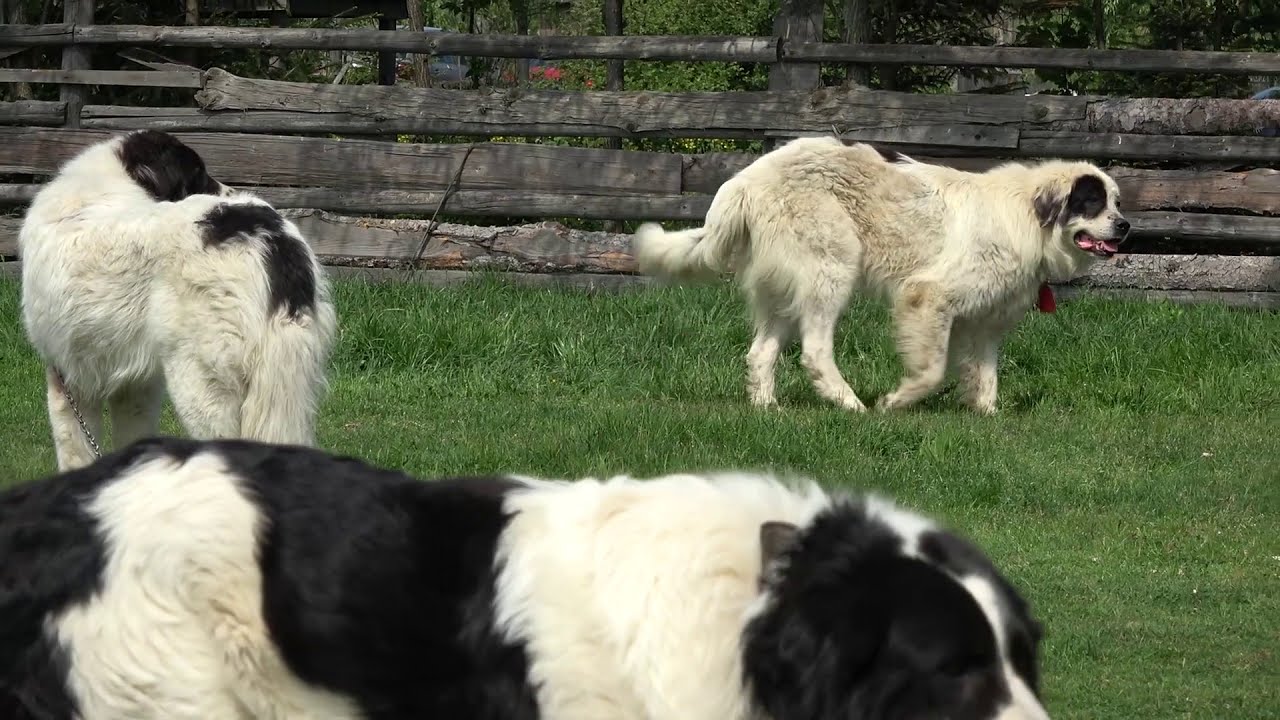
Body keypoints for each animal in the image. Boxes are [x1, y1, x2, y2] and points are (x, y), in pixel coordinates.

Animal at [17, 129, 337, 468]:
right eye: (198, 174)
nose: (231, 190)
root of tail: (271, 240)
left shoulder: (69, 377)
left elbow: (74, 452)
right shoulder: (134, 387)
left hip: (198, 382)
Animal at [632, 136, 1131, 412]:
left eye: (1117, 202)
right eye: (1091, 202)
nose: (1126, 227)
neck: (1028, 216)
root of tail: (744, 179)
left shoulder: (986, 322)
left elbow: (986, 374)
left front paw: (987, 417)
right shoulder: (928, 296)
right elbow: (932, 371)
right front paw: (895, 402)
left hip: (786, 289)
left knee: (760, 353)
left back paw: (767, 408)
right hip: (831, 269)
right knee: (814, 351)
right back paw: (849, 404)